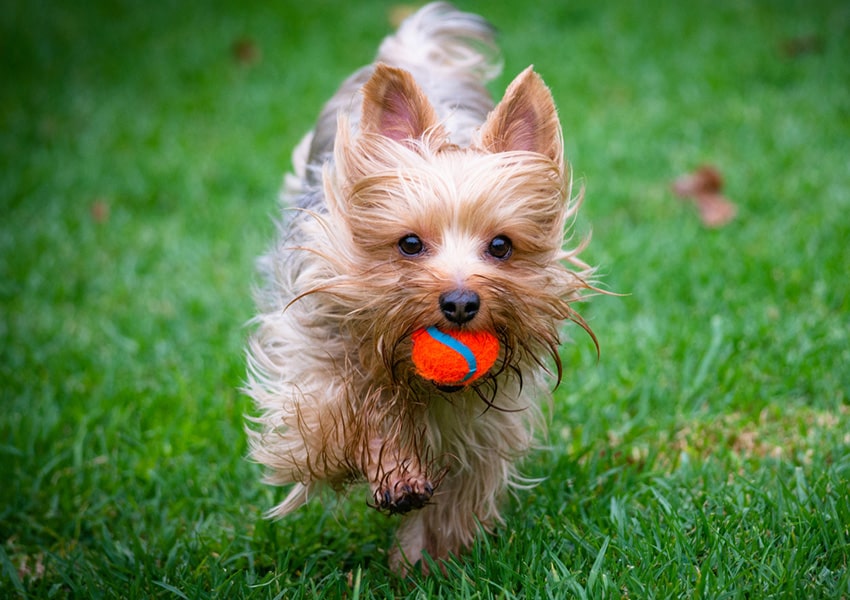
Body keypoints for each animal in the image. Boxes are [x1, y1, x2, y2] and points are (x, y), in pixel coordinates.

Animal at [242, 1, 592, 572]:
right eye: (409, 243)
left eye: (501, 246)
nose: (460, 302)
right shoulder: (310, 368)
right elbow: (344, 410)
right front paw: (395, 469)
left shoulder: (482, 425)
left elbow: (459, 491)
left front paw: (422, 561)